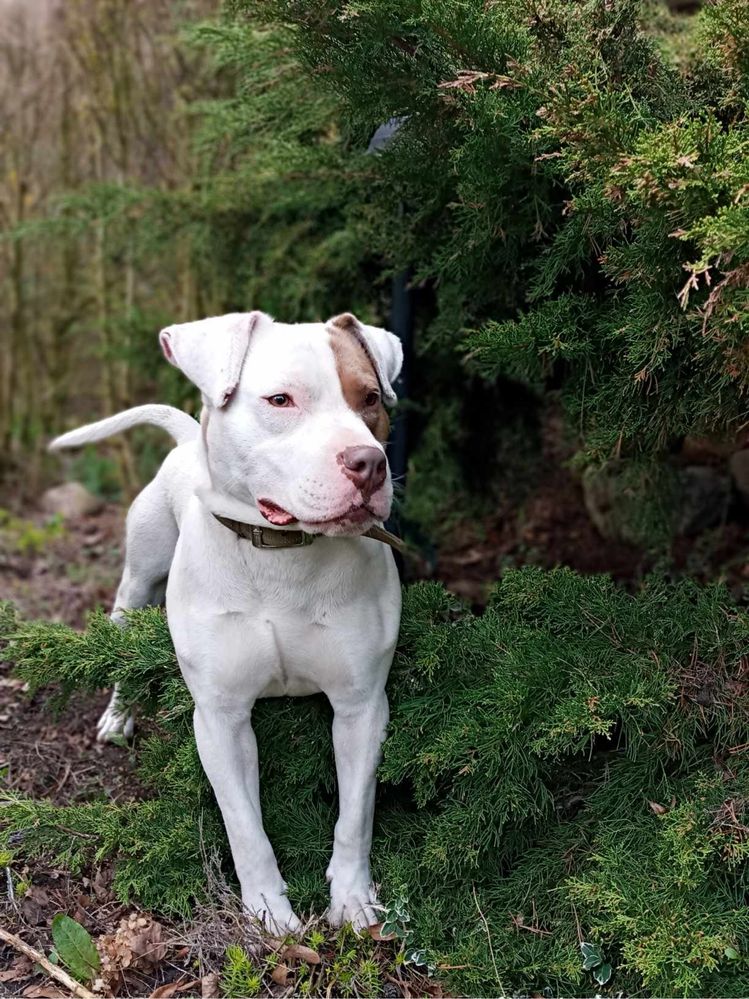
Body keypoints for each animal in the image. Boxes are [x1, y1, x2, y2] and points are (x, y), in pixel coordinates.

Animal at [51, 310, 404, 928]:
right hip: (136, 585)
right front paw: (269, 914)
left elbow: (355, 815)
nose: (368, 464)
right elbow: (245, 827)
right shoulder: (221, 718)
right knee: (121, 646)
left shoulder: (361, 706)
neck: (282, 556)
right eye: (280, 399)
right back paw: (117, 717)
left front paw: (352, 898)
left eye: (368, 398)